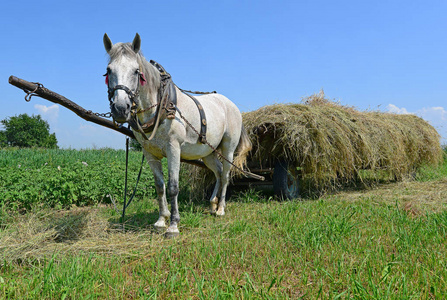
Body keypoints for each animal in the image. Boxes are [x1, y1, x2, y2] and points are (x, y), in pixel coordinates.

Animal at [104, 33, 252, 237]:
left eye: (136, 71)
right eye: (109, 70)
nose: (120, 108)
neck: (160, 107)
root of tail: (232, 104)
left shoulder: (173, 149)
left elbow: (173, 186)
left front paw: (173, 224)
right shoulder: (149, 153)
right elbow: (160, 186)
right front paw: (161, 220)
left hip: (228, 148)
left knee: (226, 175)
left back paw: (221, 208)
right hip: (208, 153)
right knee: (218, 172)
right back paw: (212, 204)